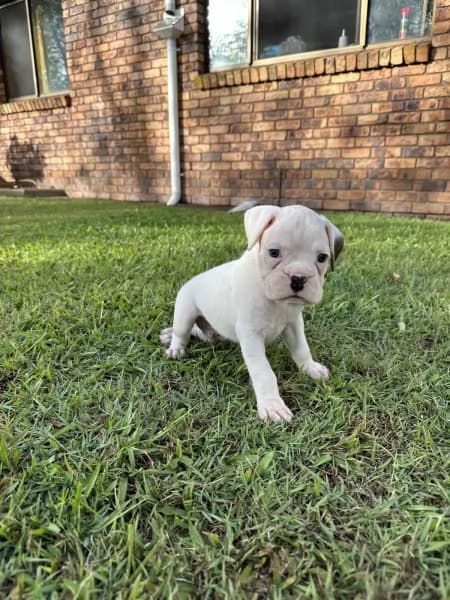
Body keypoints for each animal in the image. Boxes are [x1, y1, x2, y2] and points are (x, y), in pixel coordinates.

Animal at [161, 205, 344, 422]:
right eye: (273, 252)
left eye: (322, 258)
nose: (298, 278)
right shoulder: (251, 334)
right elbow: (264, 372)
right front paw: (272, 405)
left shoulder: (293, 325)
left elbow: (301, 349)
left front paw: (311, 368)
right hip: (185, 312)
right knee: (182, 333)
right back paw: (173, 345)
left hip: (211, 333)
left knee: (200, 332)